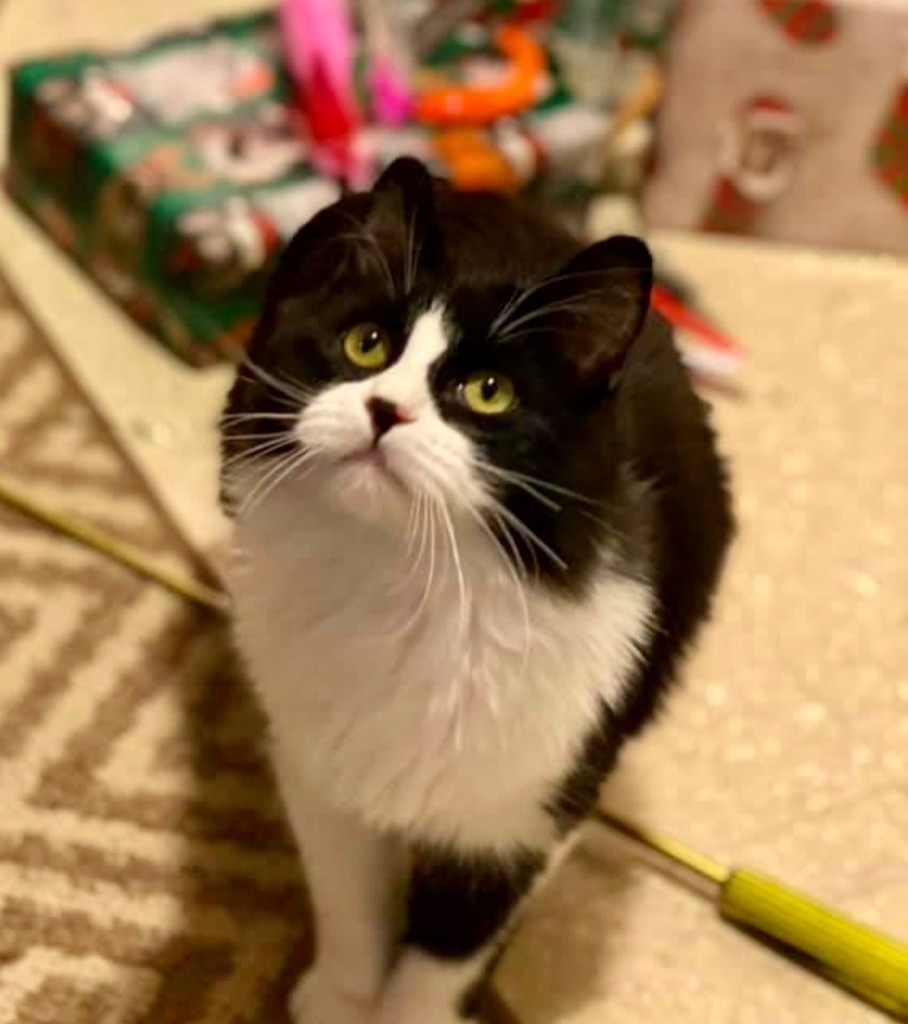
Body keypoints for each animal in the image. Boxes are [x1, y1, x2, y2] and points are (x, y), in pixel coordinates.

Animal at [224, 157, 737, 1024]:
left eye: (489, 391)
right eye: (366, 344)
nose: (384, 408)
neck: (406, 582)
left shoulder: (525, 814)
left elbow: (442, 958)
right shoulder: (321, 769)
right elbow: (349, 903)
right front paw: (341, 999)